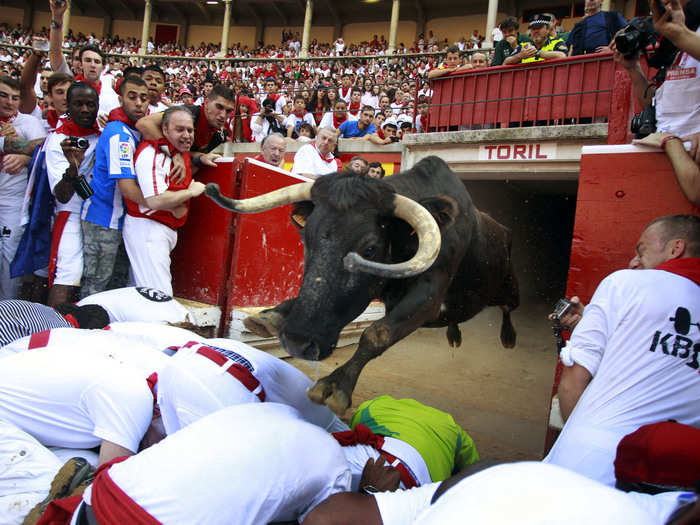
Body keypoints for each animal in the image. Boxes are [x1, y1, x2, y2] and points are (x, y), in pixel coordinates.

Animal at [205, 156, 516, 414]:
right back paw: (454, 334)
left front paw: (335, 387)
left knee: (509, 307)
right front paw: (270, 316)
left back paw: (508, 337)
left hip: (508, 288)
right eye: (306, 239)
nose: (298, 341)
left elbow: (377, 332)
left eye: (369, 249)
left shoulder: (428, 297)